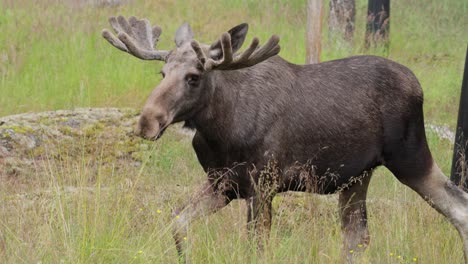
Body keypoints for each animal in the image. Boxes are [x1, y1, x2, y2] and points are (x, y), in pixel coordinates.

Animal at [102, 16, 468, 262]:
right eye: (162, 73)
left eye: (193, 77)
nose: (147, 122)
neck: (218, 131)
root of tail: (419, 87)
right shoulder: (222, 184)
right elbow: (178, 224)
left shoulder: (262, 185)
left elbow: (257, 248)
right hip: (357, 177)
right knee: (357, 237)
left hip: (410, 156)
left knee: (458, 208)